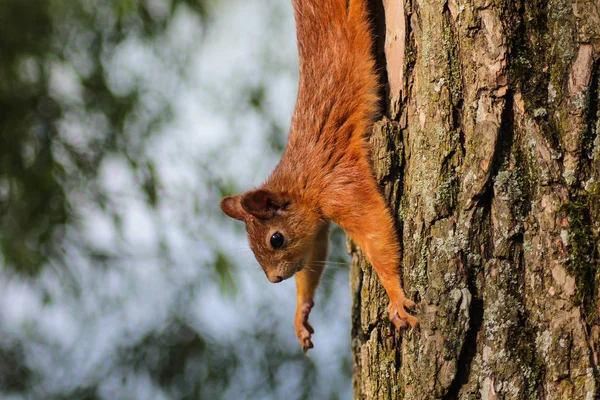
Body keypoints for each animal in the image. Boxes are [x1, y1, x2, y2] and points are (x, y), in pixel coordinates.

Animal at [220, 0, 418, 352]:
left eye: (275, 239)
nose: (274, 280)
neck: (300, 181)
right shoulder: (316, 224)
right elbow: (312, 258)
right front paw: (301, 314)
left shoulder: (338, 188)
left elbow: (376, 231)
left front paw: (395, 295)